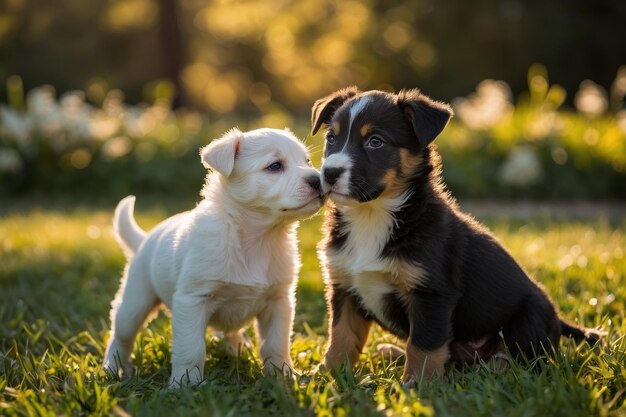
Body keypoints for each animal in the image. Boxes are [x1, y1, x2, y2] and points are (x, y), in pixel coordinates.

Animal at [103, 127, 322, 386]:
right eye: (275, 166)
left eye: (307, 161)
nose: (319, 179)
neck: (258, 238)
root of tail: (144, 239)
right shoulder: (192, 300)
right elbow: (191, 347)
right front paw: (186, 383)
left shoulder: (279, 301)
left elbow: (276, 343)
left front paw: (282, 375)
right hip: (135, 303)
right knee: (120, 337)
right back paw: (114, 368)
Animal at [312, 86, 600, 386]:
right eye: (331, 138)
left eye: (375, 142)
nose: (329, 173)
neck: (372, 216)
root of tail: (557, 319)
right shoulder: (344, 286)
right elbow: (341, 336)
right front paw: (328, 374)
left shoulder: (432, 293)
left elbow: (424, 344)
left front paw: (417, 384)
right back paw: (392, 351)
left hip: (527, 320)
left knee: (526, 363)